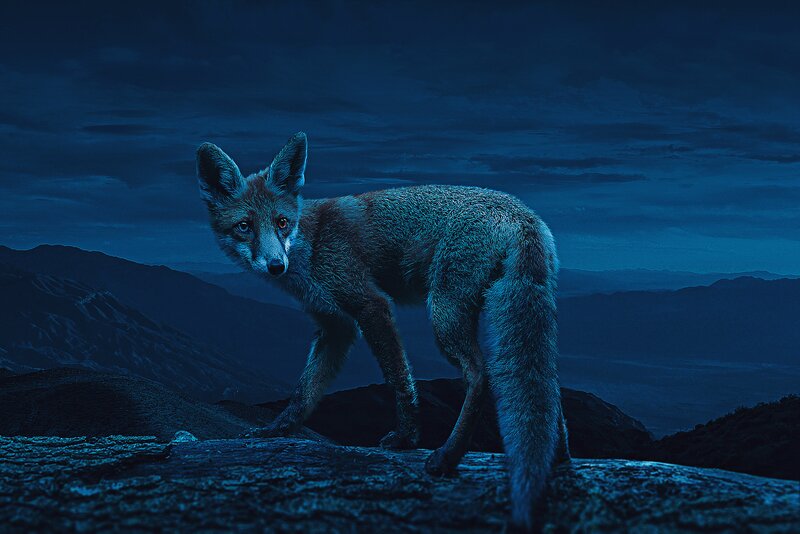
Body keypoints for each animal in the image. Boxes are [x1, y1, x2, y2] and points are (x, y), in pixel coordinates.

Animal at [196, 132, 569, 530]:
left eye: (281, 222)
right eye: (244, 226)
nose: (275, 265)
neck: (311, 246)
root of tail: (522, 212)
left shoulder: (370, 304)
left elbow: (399, 378)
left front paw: (407, 437)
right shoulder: (335, 326)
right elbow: (304, 391)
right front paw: (276, 430)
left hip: (444, 312)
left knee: (480, 376)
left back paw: (448, 456)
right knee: (547, 391)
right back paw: (559, 459)